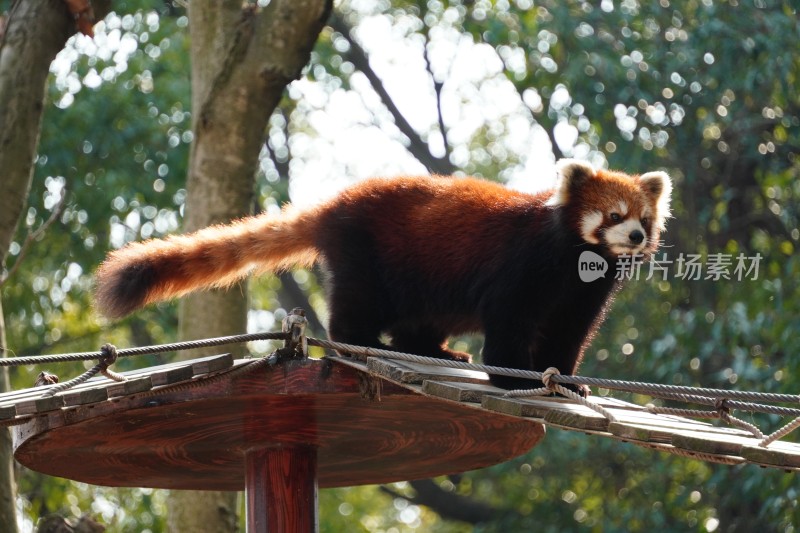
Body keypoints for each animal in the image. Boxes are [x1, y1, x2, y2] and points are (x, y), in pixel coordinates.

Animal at [92, 158, 668, 390]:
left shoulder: (585, 290)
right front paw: (512, 378)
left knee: (421, 320)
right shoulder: (524, 267)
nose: (637, 238)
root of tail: (332, 206)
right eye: (612, 215)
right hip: (369, 255)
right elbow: (509, 324)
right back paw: (364, 342)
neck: (572, 259)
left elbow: (568, 334)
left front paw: (566, 382)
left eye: (642, 218)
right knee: (359, 308)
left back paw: (436, 351)